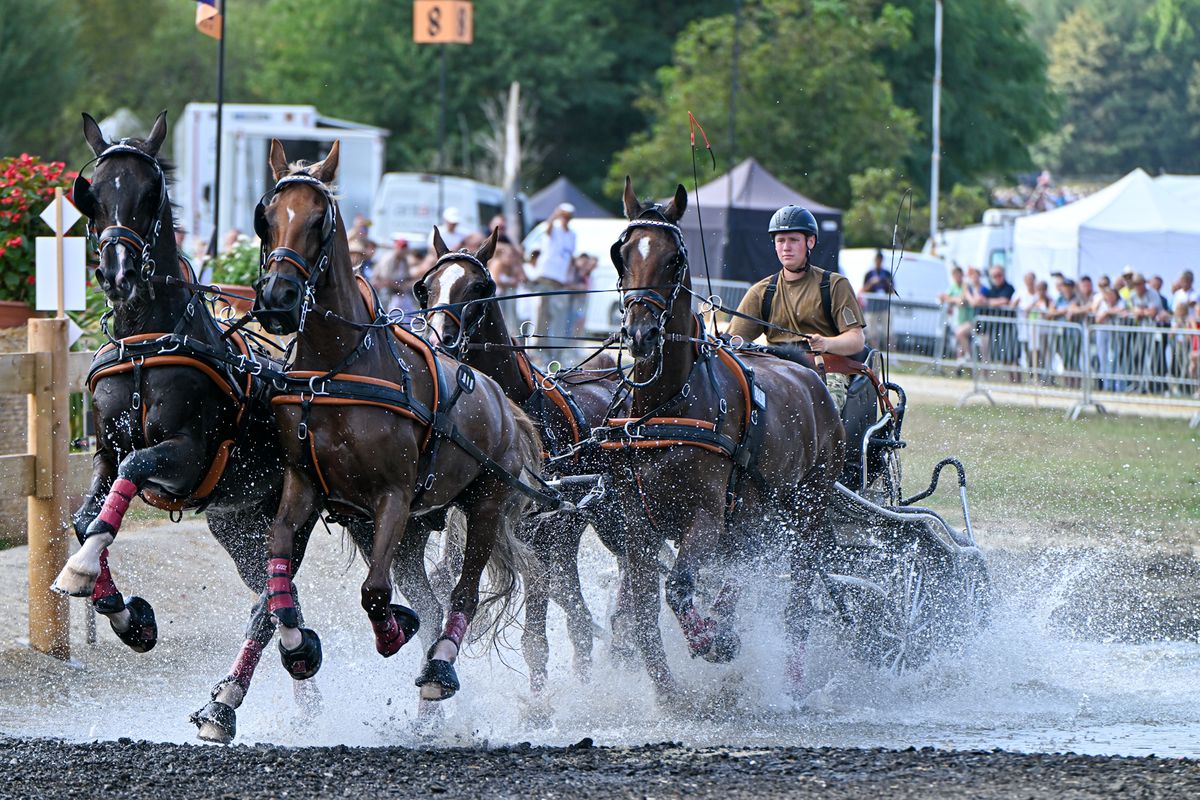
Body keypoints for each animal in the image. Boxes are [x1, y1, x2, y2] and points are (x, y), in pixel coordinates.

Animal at [53, 110, 328, 743]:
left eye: (150, 195)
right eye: (92, 195)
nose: (118, 273)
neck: (145, 343)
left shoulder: (186, 455)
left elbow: (134, 469)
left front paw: (81, 572)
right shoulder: (103, 454)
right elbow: (87, 517)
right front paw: (128, 618)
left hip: (292, 510)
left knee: (268, 604)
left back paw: (231, 702)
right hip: (240, 526)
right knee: (276, 594)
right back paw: (301, 687)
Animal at [255, 140, 549, 705]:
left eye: (319, 219)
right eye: (267, 217)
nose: (278, 297)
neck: (337, 371)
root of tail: (504, 402)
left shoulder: (393, 494)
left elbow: (374, 590)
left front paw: (395, 629)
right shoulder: (303, 485)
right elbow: (278, 562)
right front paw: (297, 646)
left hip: (484, 503)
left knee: (463, 593)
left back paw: (438, 667)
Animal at [417, 232, 633, 695]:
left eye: (479, 288)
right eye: (426, 287)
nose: (439, 342)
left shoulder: (536, 539)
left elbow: (534, 637)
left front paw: (538, 706)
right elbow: (445, 580)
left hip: (607, 523)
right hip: (568, 536)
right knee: (578, 615)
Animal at [600, 178, 844, 695]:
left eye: (675, 258)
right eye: (621, 252)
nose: (641, 333)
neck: (666, 405)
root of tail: (809, 372)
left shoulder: (707, 516)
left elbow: (678, 587)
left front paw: (712, 640)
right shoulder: (638, 524)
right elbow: (642, 611)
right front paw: (666, 691)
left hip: (808, 512)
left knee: (797, 598)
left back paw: (789, 679)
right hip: (756, 518)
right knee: (744, 573)